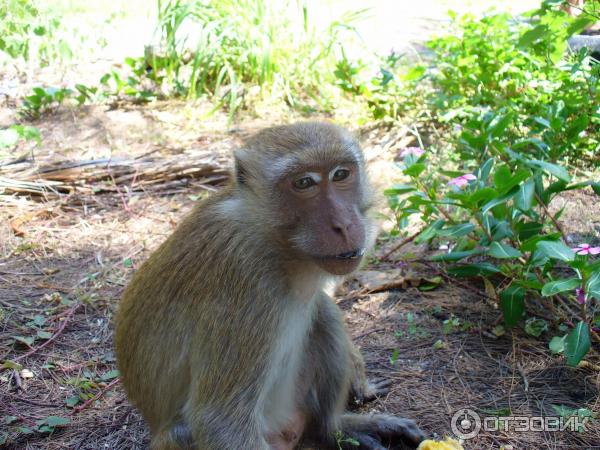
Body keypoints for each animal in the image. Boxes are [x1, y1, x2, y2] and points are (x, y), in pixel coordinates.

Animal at [115, 121, 424, 448]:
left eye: (341, 174)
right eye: (304, 183)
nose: (343, 224)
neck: (275, 243)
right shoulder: (243, 280)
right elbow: (220, 421)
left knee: (322, 312)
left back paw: (334, 428)